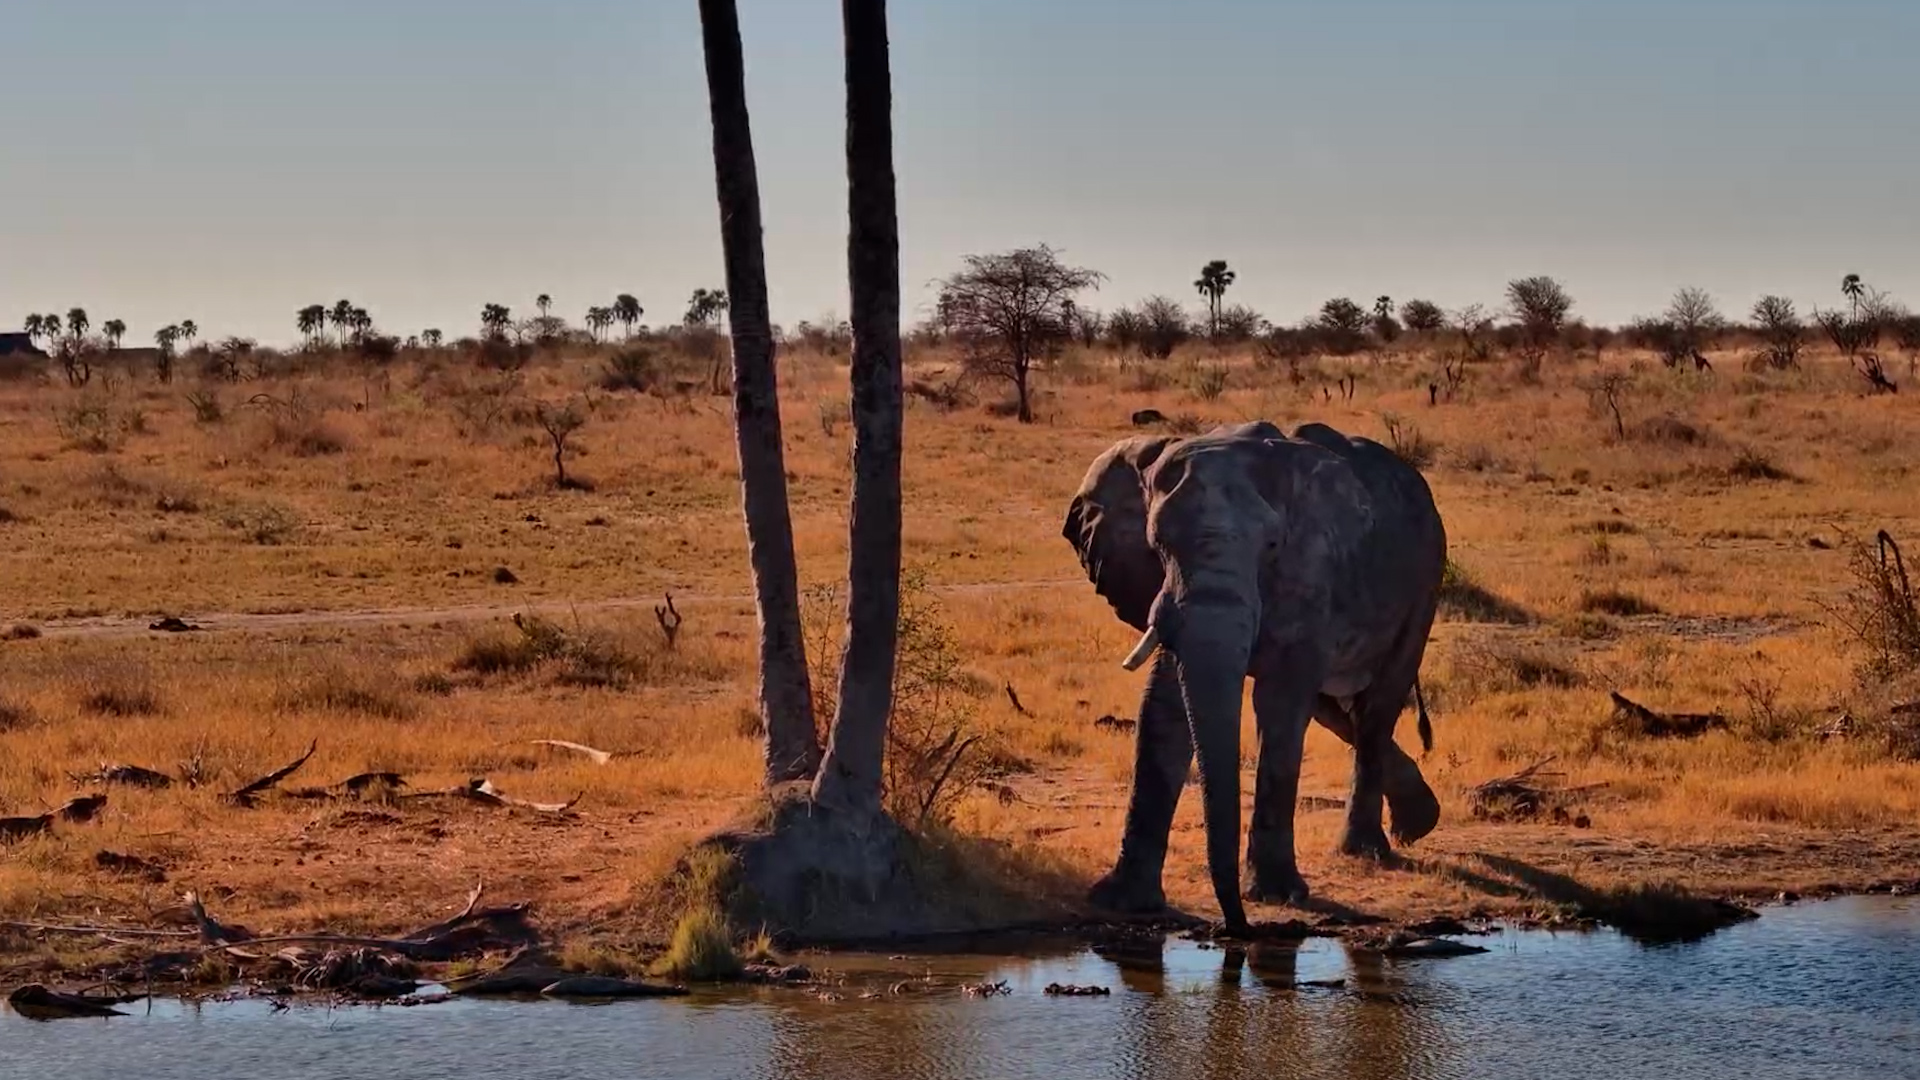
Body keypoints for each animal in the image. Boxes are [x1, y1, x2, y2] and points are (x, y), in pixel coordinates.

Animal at [1061, 420, 1446, 931]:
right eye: (1157, 546)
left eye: (1272, 547)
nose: (1236, 928)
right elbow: (1165, 709)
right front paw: (1124, 901)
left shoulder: (1310, 571)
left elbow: (1279, 706)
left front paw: (1278, 895)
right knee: (1336, 710)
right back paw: (1417, 823)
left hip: (1425, 579)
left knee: (1376, 709)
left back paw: (1366, 850)